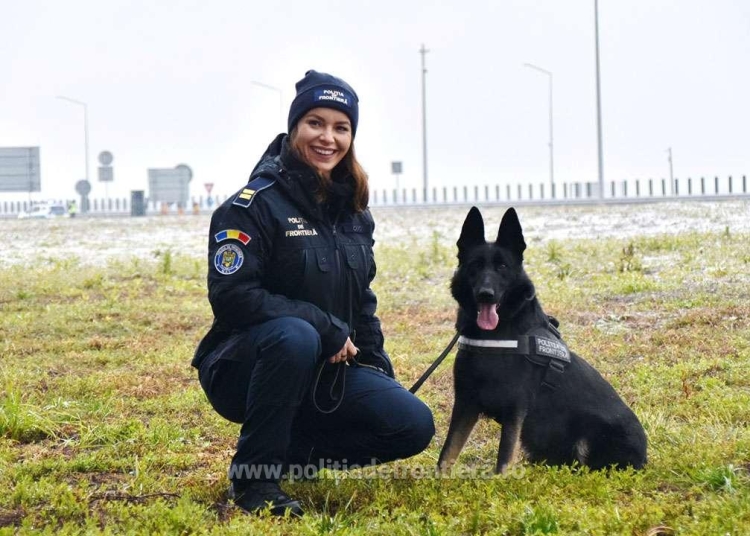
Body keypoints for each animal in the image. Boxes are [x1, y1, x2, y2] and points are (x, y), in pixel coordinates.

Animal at [438, 206, 648, 474]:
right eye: (475, 266)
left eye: (502, 266)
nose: (486, 295)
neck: (496, 336)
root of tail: (645, 456)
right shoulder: (466, 402)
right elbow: (446, 453)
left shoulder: (514, 408)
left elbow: (503, 459)